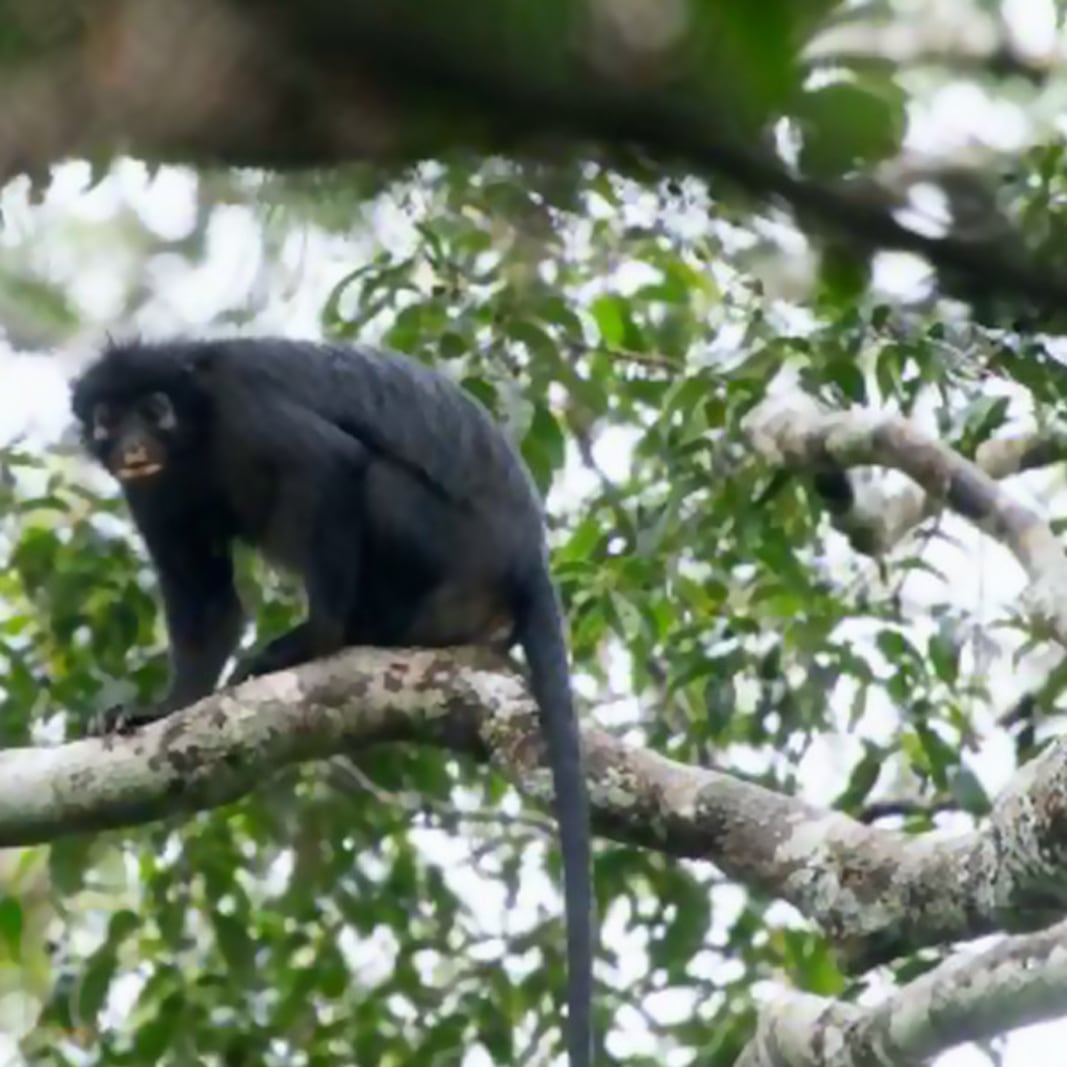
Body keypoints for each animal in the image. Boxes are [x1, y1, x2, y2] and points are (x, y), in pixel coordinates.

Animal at [70, 336, 594, 1067]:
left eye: (155, 409)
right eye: (109, 419)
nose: (134, 443)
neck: (196, 431)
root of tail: (526, 559)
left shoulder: (244, 408)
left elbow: (329, 466)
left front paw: (315, 638)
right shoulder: (151, 489)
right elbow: (206, 601)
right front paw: (163, 708)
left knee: (369, 479)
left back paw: (347, 633)